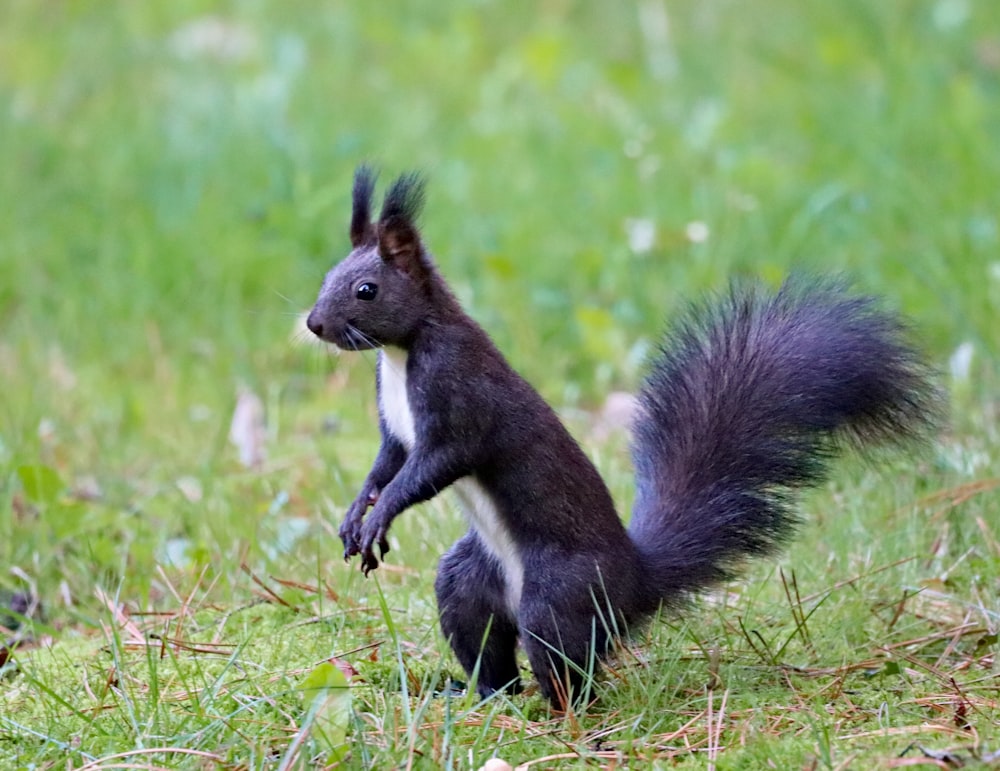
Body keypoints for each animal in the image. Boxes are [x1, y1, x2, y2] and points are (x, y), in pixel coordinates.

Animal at [304, 166, 936, 708]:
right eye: (327, 277)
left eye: (366, 290)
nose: (314, 323)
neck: (402, 351)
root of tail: (634, 583)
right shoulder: (396, 432)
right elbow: (387, 462)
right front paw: (355, 514)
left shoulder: (458, 399)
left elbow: (432, 466)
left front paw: (381, 514)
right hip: (468, 583)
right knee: (489, 647)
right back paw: (480, 697)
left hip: (556, 596)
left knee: (566, 666)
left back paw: (555, 713)